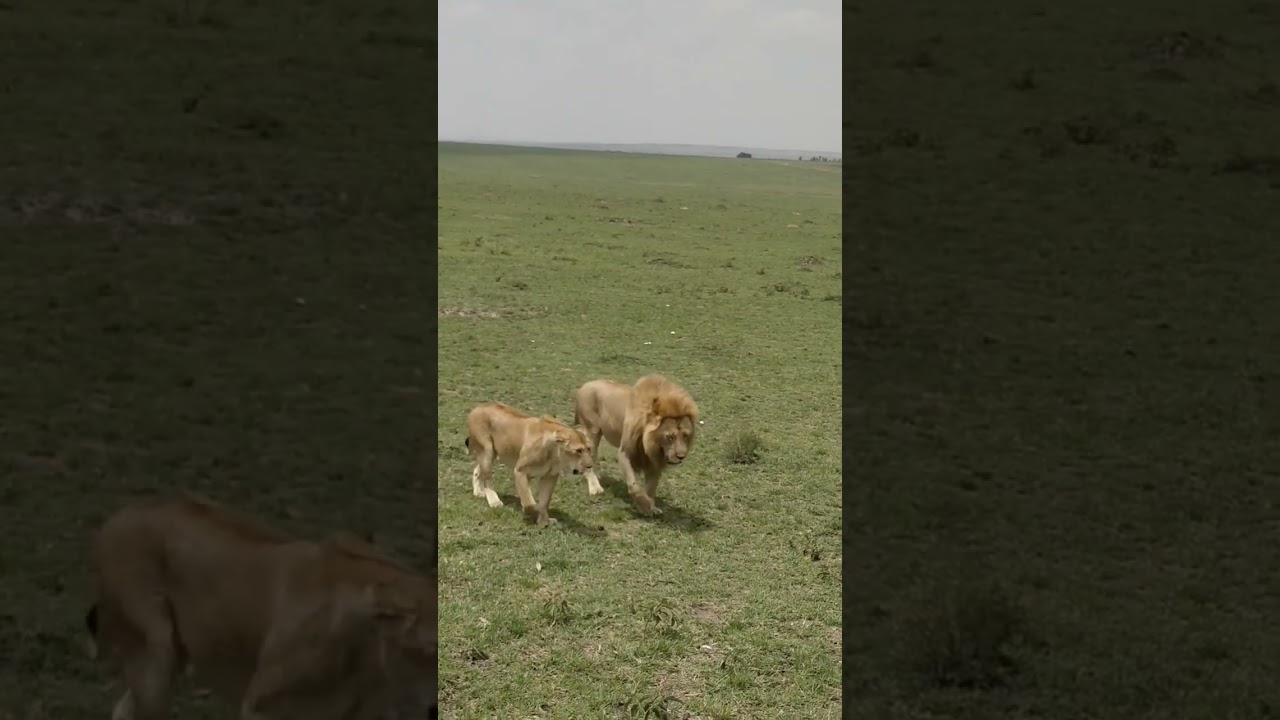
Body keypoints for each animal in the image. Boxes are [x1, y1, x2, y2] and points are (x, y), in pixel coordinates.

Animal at [464, 402, 594, 526]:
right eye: (578, 451)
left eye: (589, 449)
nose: (590, 466)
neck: (553, 454)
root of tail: (478, 407)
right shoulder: (520, 471)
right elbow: (529, 503)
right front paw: (535, 510)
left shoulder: (550, 477)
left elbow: (544, 500)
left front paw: (544, 521)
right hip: (487, 450)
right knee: (487, 477)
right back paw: (494, 501)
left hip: (493, 454)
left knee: (477, 470)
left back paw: (478, 492)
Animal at [572, 374, 699, 516]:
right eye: (670, 437)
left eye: (685, 435)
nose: (681, 456)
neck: (652, 444)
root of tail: (585, 385)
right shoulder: (625, 453)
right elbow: (634, 486)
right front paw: (645, 506)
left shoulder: (654, 461)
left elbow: (651, 488)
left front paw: (651, 507)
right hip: (592, 431)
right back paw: (595, 487)